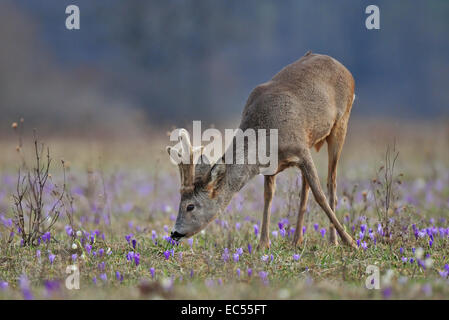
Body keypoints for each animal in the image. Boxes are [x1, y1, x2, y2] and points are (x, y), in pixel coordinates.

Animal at [166, 52, 356, 248]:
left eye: (190, 206)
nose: (174, 233)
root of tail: (343, 68)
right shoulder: (271, 165)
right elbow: (268, 196)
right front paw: (263, 243)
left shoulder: (301, 148)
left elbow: (320, 196)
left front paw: (350, 241)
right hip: (312, 139)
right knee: (306, 186)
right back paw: (297, 239)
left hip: (341, 123)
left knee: (331, 181)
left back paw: (334, 240)